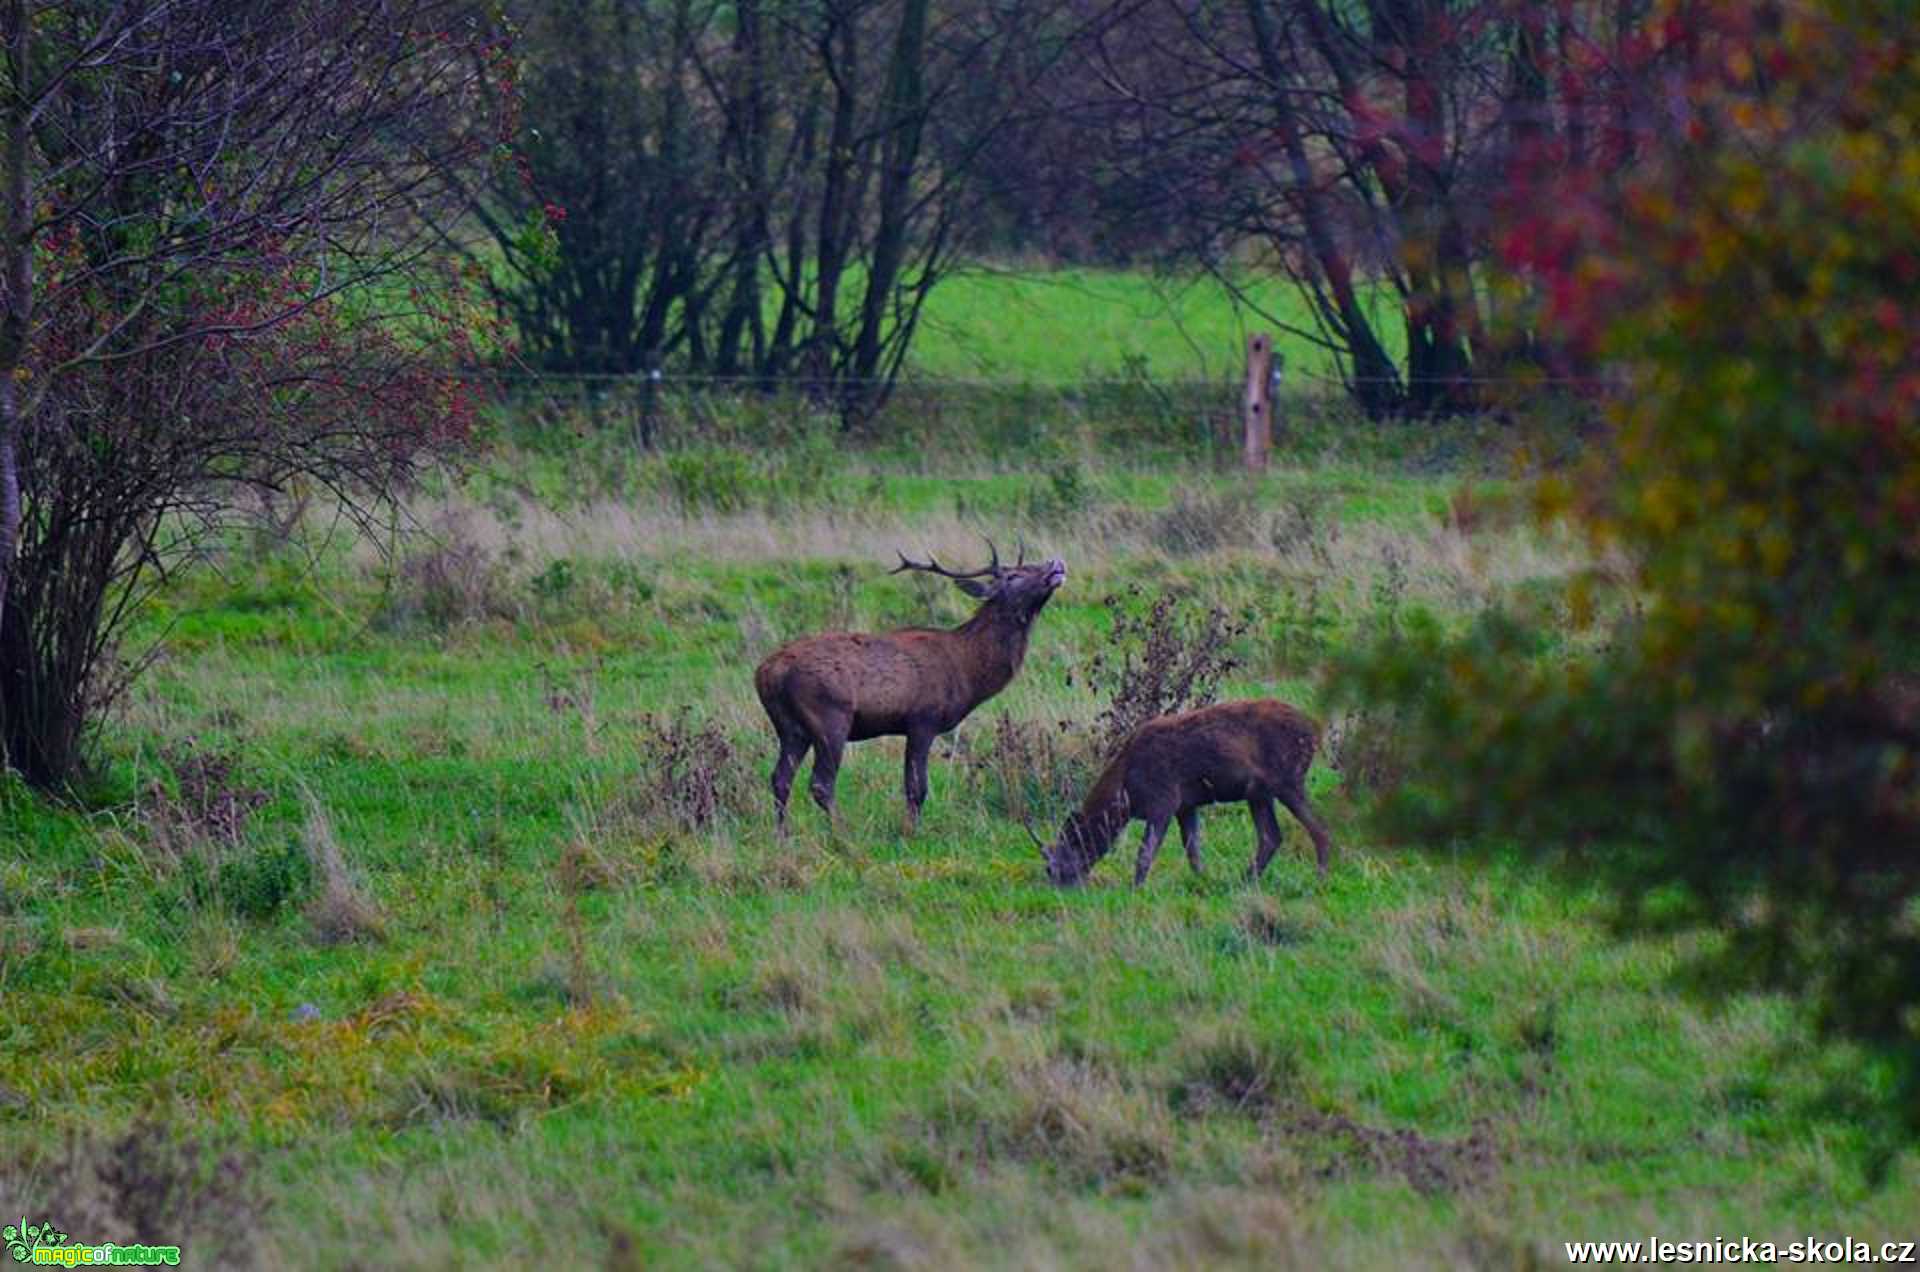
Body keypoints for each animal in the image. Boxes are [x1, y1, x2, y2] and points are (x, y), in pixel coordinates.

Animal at [748, 545, 1067, 837]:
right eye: (1013, 576)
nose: (1056, 563)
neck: (967, 670)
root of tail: (766, 673)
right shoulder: (923, 719)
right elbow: (917, 787)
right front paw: (912, 832)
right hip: (829, 716)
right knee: (820, 783)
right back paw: (843, 834)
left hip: (791, 727)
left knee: (780, 778)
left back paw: (782, 835)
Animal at [1044, 699, 1328, 887]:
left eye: (1057, 865)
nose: (1059, 888)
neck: (1127, 795)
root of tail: (1314, 733)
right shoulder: (1185, 805)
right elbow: (1193, 849)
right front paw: (1203, 881)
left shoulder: (1163, 800)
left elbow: (1145, 853)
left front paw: (1136, 888)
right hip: (1259, 793)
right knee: (1271, 836)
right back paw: (1244, 880)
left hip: (1287, 779)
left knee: (1319, 828)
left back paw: (1320, 879)